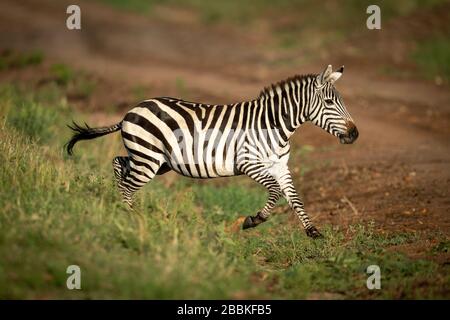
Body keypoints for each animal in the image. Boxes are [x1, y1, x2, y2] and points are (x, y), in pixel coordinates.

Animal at [66, 65, 358, 239]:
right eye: (329, 102)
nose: (355, 134)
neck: (275, 125)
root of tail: (131, 110)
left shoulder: (280, 165)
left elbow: (294, 198)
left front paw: (313, 231)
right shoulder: (250, 162)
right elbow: (275, 192)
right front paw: (253, 220)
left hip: (155, 160)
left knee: (119, 164)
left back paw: (118, 208)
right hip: (149, 159)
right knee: (128, 184)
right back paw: (129, 217)